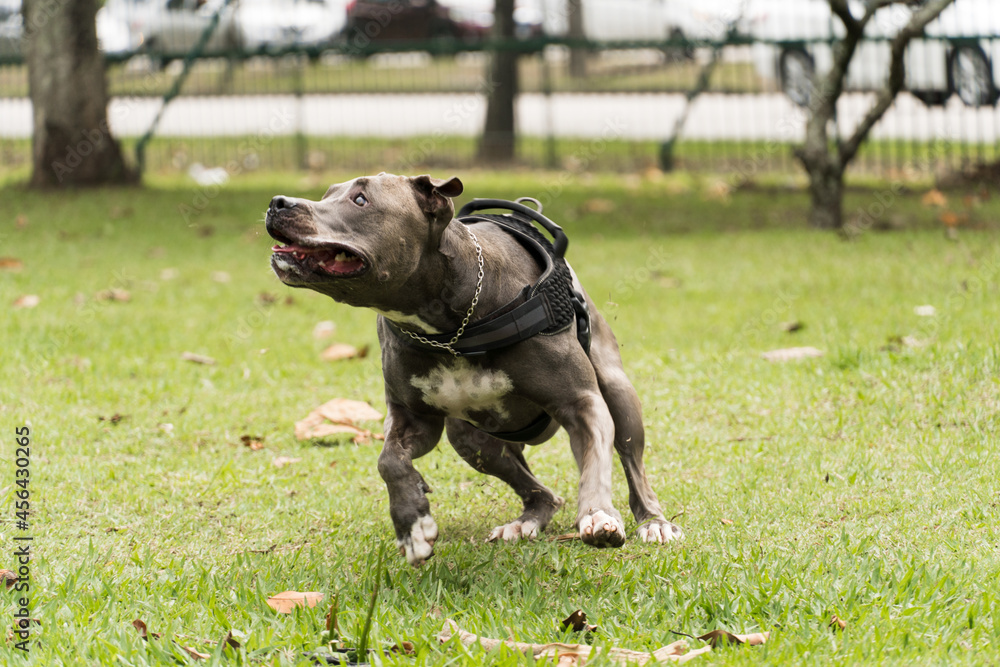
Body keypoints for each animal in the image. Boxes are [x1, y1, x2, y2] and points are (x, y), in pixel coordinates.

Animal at [266, 174, 684, 568]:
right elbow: (389, 461)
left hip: (617, 392)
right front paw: (412, 526)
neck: (450, 326)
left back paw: (654, 523)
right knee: (541, 492)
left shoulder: (582, 403)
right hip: (471, 439)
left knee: (632, 463)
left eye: (360, 199)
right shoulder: (413, 418)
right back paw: (526, 522)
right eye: (327, 193)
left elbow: (595, 464)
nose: (277, 202)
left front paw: (598, 514)